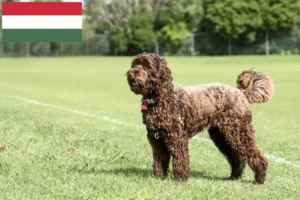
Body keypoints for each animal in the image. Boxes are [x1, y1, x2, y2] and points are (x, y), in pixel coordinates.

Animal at [126, 52, 274, 184]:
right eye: (135, 64)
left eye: (147, 66)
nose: (131, 73)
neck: (159, 98)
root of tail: (241, 93)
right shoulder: (156, 140)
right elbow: (160, 160)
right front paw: (160, 177)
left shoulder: (177, 137)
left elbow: (180, 158)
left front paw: (180, 179)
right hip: (222, 135)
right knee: (237, 158)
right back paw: (234, 177)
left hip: (239, 131)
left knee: (256, 156)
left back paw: (259, 179)